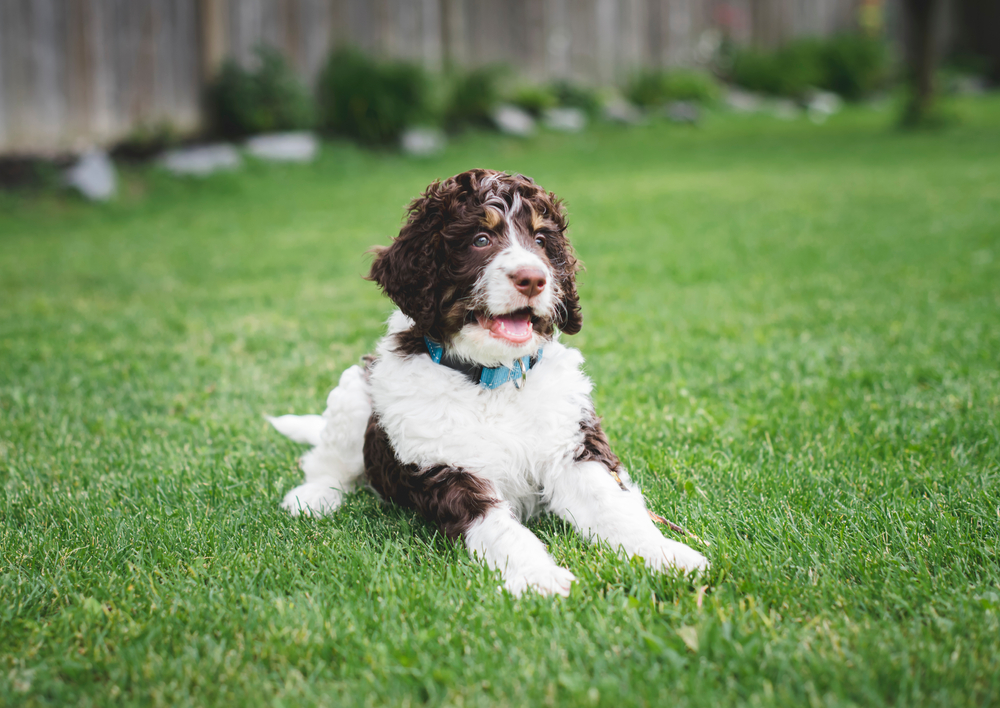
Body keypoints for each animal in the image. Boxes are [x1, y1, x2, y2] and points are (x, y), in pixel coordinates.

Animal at [272, 169, 712, 596]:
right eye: (480, 240)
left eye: (540, 241)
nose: (533, 279)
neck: (494, 377)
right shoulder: (446, 470)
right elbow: (501, 530)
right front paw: (539, 576)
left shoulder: (572, 446)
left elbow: (612, 506)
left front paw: (666, 556)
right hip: (356, 393)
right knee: (328, 462)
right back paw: (311, 497)